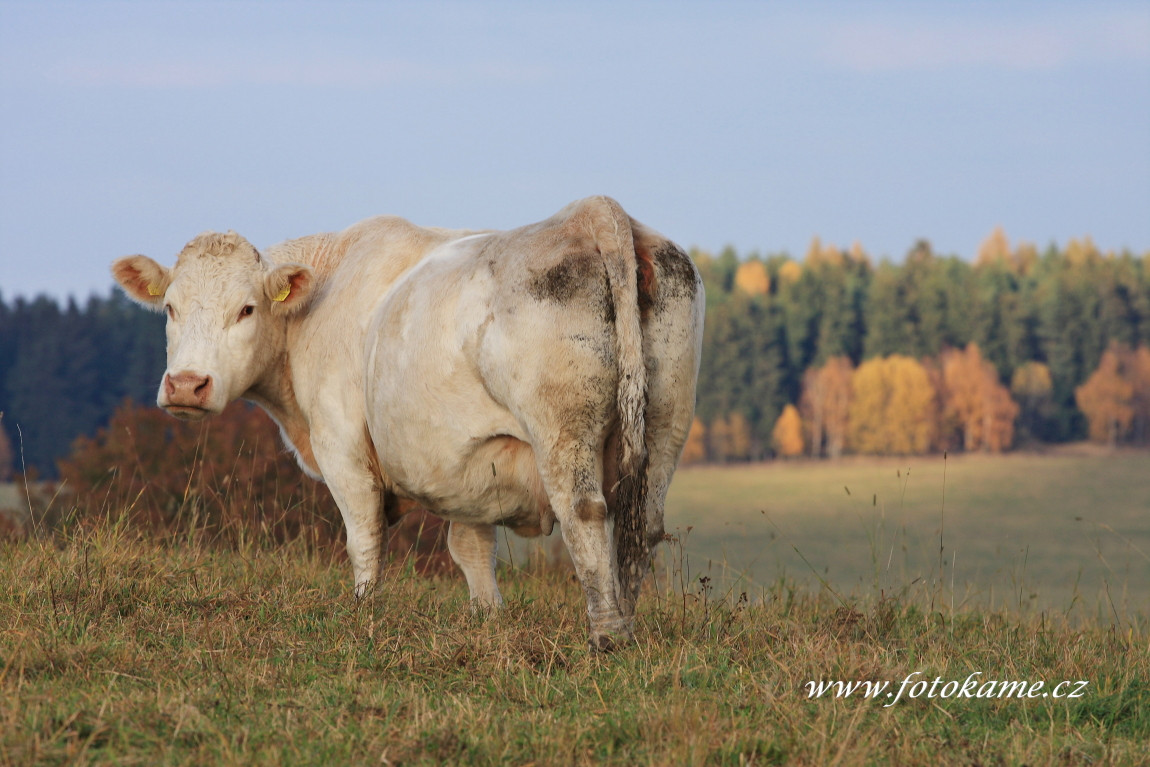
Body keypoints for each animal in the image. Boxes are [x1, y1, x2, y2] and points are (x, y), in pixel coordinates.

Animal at [114, 196, 699, 648]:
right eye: (170, 308)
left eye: (246, 309)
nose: (187, 384)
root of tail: (592, 212)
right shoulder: (472, 465)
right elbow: (470, 548)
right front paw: (487, 618)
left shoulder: (341, 444)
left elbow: (363, 535)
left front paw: (362, 611)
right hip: (666, 423)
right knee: (640, 524)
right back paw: (627, 621)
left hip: (562, 427)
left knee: (585, 512)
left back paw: (607, 634)